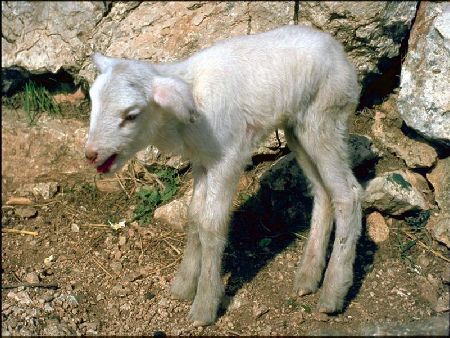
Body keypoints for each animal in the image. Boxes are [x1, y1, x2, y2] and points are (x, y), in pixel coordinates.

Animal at [86, 25, 364, 326]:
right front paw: (184, 284)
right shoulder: (202, 161)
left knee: (348, 194)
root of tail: (336, 48)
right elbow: (194, 215)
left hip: (325, 118)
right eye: (93, 102)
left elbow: (211, 224)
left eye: (131, 115)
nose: (90, 154)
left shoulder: (227, 159)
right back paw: (309, 275)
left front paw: (205, 304)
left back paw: (334, 290)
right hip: (297, 128)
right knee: (323, 191)